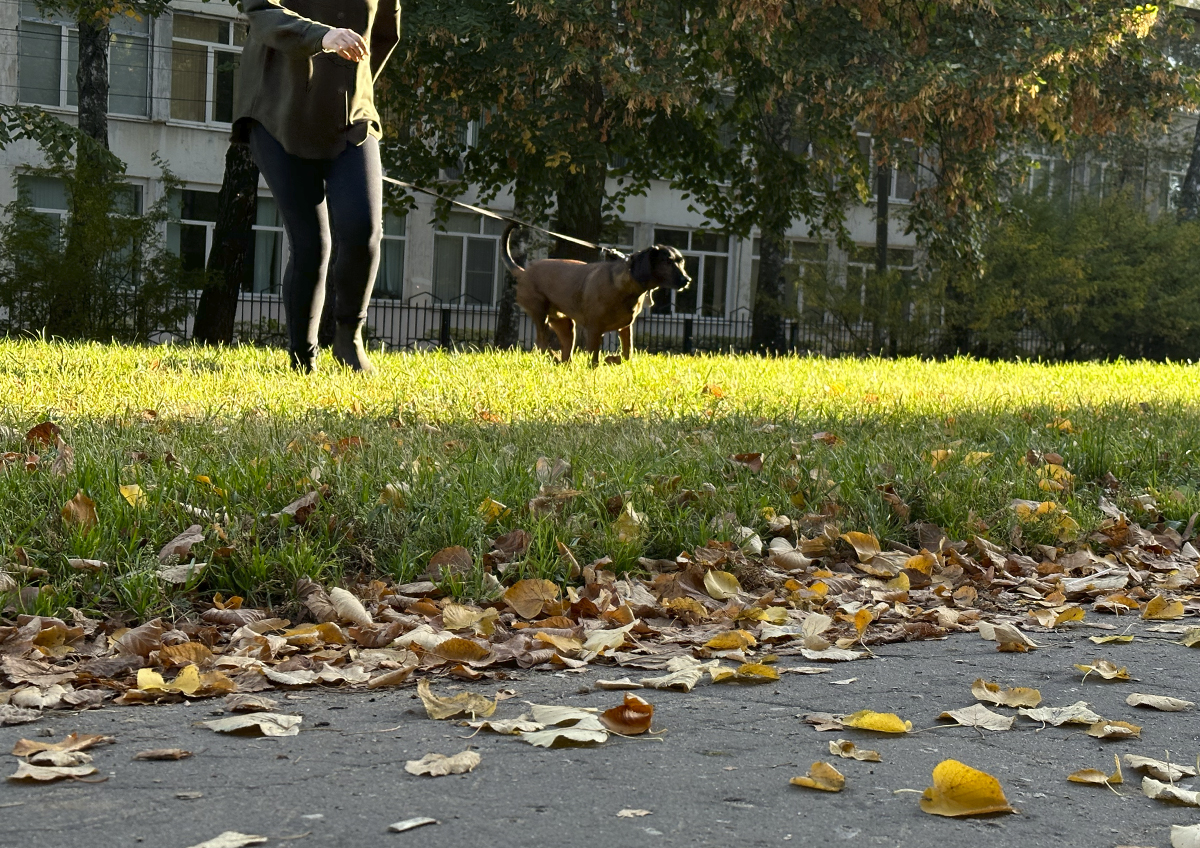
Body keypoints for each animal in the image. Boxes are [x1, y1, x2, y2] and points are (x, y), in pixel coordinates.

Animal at [501, 221, 696, 364]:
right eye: (668, 262)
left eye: (681, 261)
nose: (687, 280)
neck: (626, 287)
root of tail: (523, 272)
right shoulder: (595, 329)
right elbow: (594, 358)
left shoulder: (625, 327)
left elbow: (627, 354)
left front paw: (612, 359)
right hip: (539, 312)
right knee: (541, 343)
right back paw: (554, 358)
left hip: (565, 324)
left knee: (564, 351)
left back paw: (563, 364)